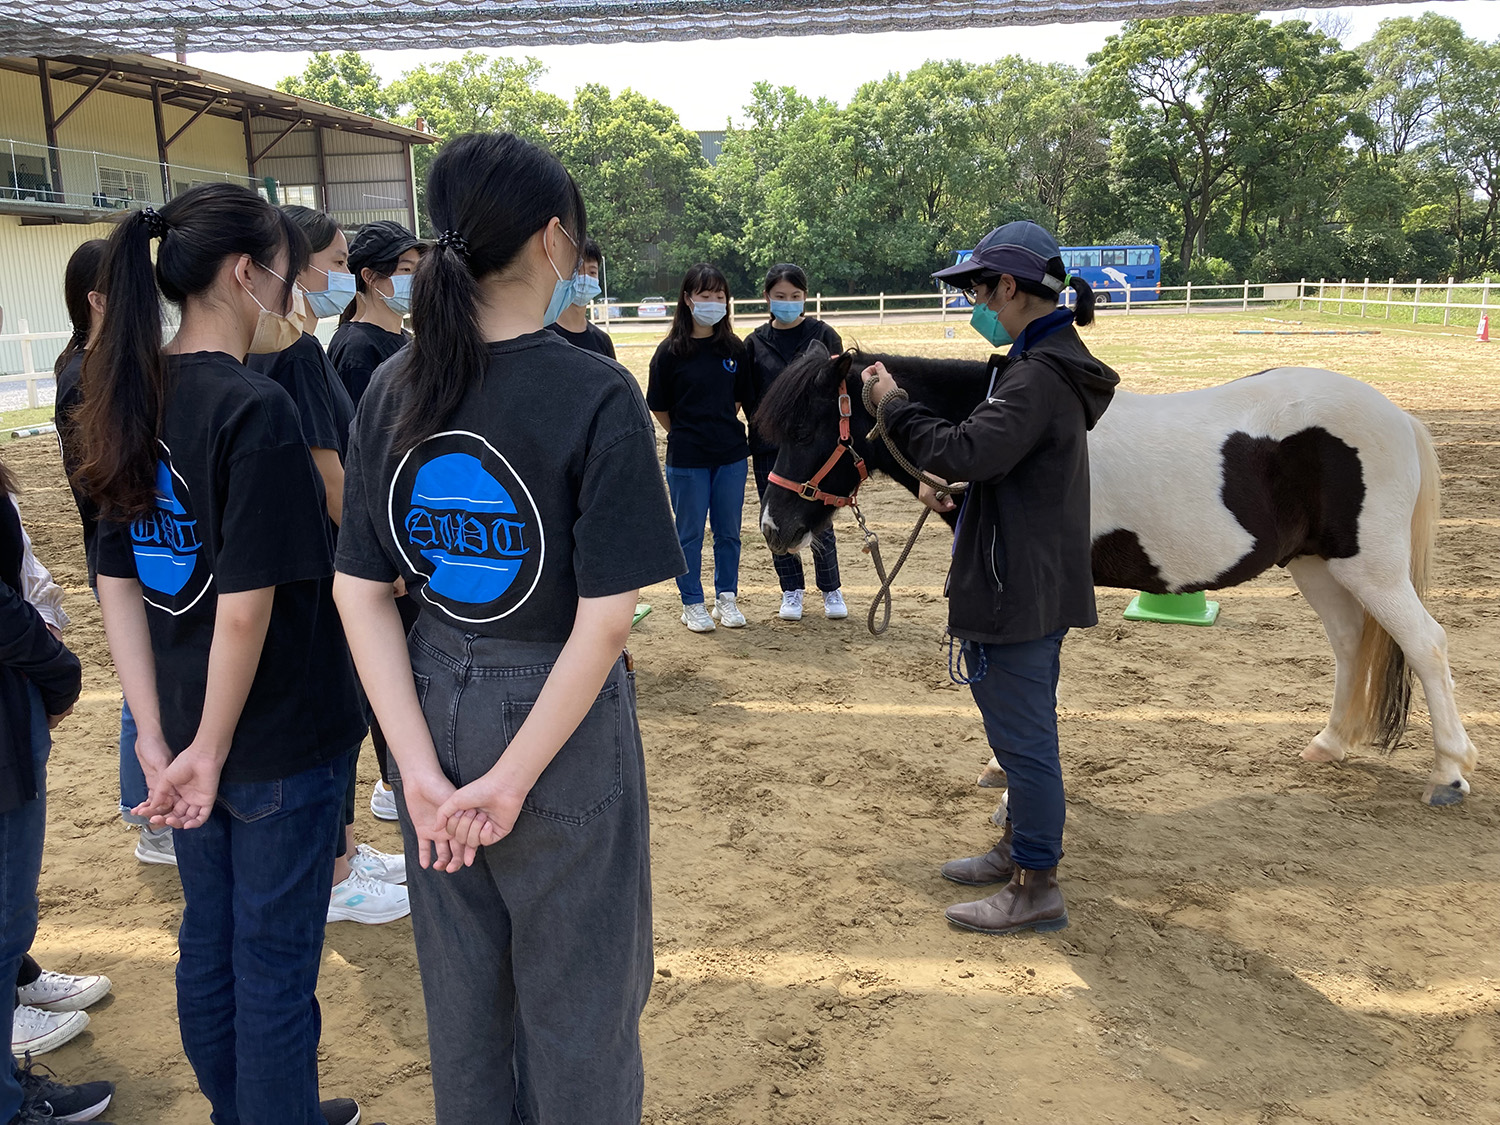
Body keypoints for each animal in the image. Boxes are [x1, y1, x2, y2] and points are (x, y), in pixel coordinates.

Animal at [756, 348, 1482, 804]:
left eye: (810, 425)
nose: (772, 526)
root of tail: (1399, 417)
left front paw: (1010, 770)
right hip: (1317, 565)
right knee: (1351, 645)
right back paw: (1329, 744)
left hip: (1372, 568)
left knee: (1427, 645)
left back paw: (1449, 773)